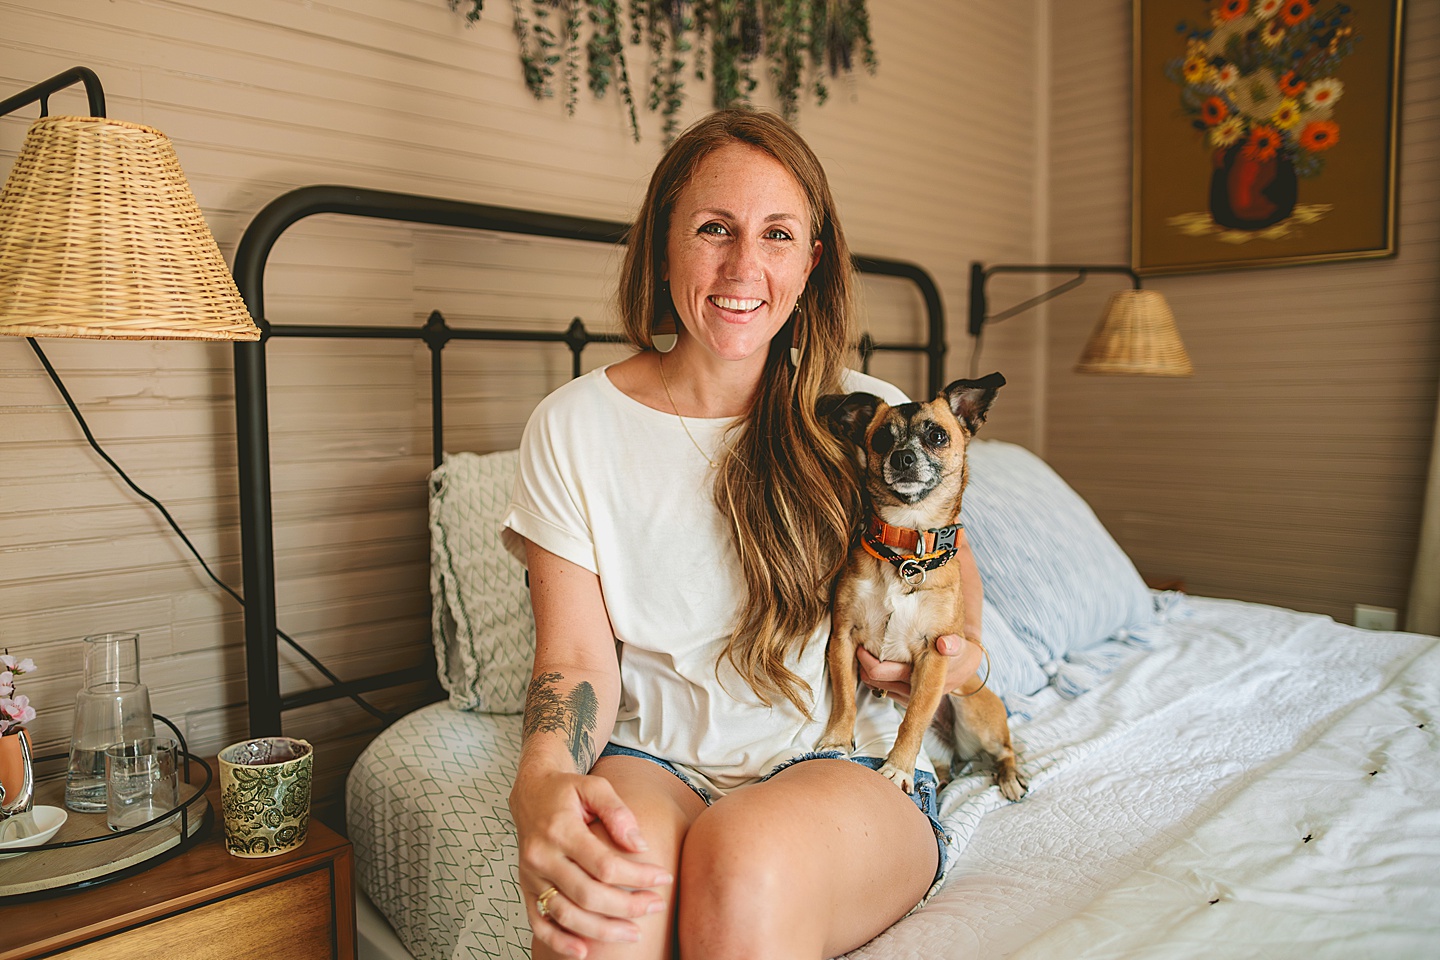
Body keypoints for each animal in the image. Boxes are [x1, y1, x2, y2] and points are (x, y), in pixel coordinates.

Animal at [823, 374, 1025, 805]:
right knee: (945, 768)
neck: (907, 544)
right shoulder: (843, 638)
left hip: (974, 709)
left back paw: (1010, 777)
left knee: (1005, 749)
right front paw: (836, 738)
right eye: (882, 439)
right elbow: (845, 698)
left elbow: (914, 718)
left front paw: (897, 768)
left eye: (936, 436)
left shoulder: (934, 655)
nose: (902, 457)